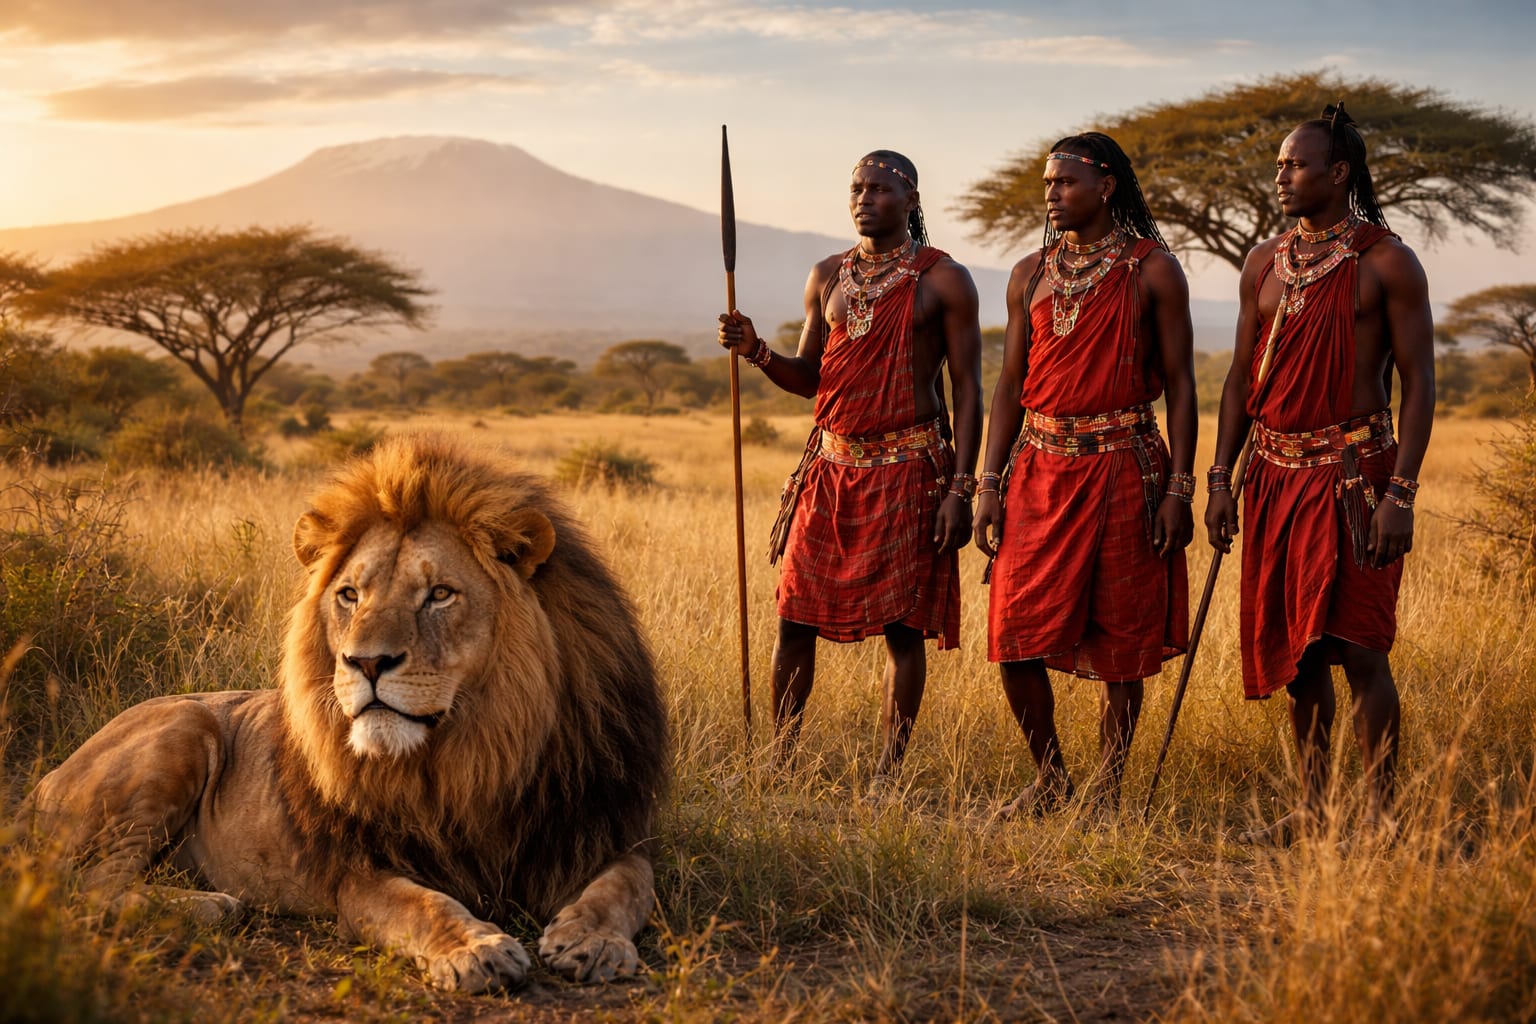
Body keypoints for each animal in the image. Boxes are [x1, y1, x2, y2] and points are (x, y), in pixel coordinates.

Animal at [21, 432, 670, 992]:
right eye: (350, 595)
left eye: (440, 594)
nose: (366, 662)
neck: (481, 751)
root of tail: (41, 784)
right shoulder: (362, 872)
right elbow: (426, 905)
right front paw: (476, 949)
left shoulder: (600, 828)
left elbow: (631, 884)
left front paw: (593, 942)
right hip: (185, 728)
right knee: (86, 884)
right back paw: (213, 906)